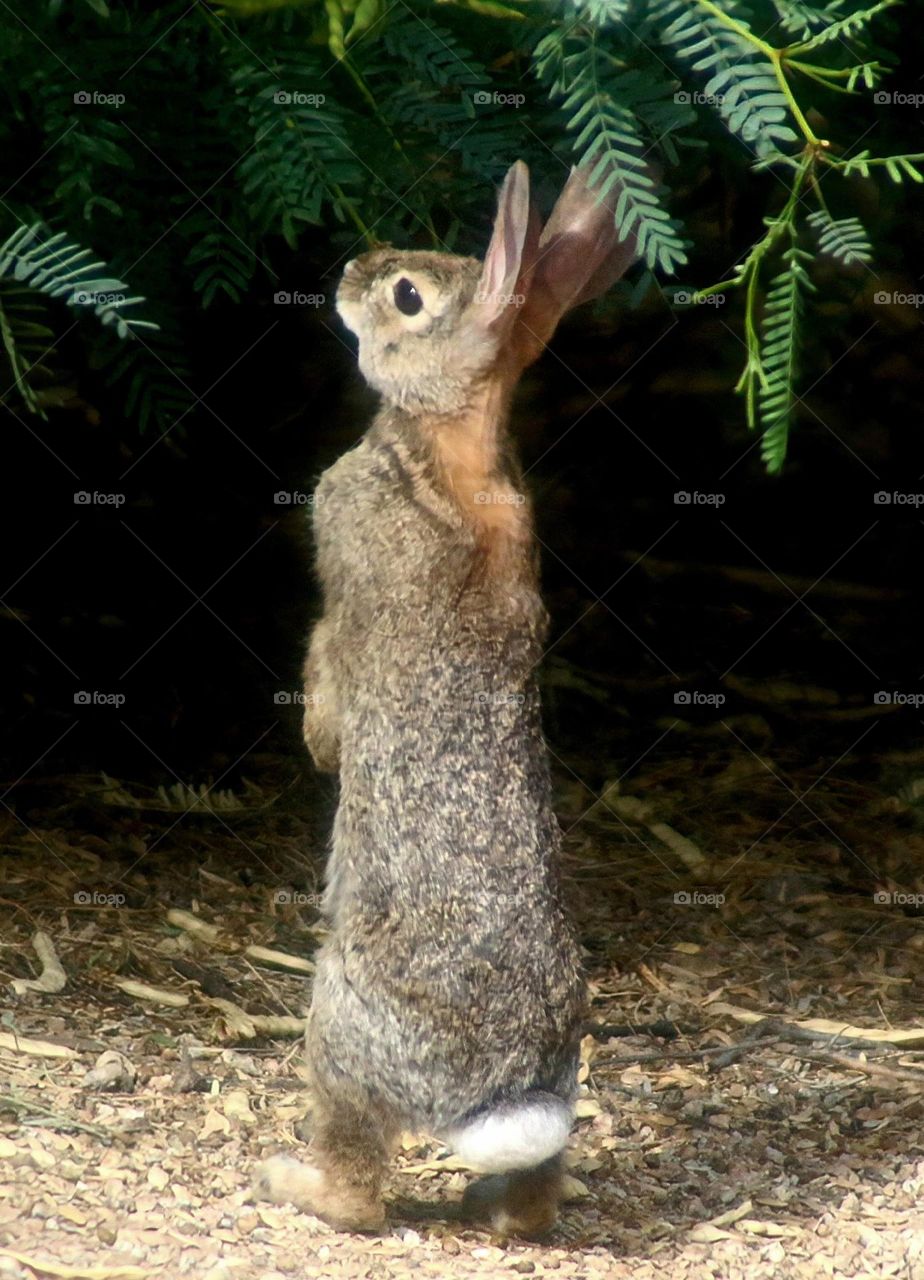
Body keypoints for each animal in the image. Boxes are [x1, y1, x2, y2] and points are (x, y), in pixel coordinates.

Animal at [255, 161, 639, 1238]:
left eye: (408, 297)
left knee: (356, 1180)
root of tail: (502, 1098)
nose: (352, 270)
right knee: (532, 1197)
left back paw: (292, 1181)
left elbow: (329, 664)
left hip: (340, 1021)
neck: (450, 434)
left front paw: (320, 743)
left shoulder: (341, 592)